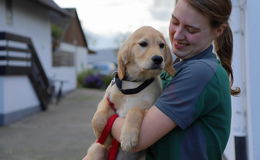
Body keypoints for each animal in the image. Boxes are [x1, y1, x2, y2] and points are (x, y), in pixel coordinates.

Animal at [85, 25, 175, 159]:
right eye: (143, 44)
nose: (158, 59)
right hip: (96, 150)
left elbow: (135, 110)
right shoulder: (107, 99)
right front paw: (104, 138)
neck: (134, 84)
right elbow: (98, 116)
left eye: (161, 45)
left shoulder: (149, 108)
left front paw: (128, 137)